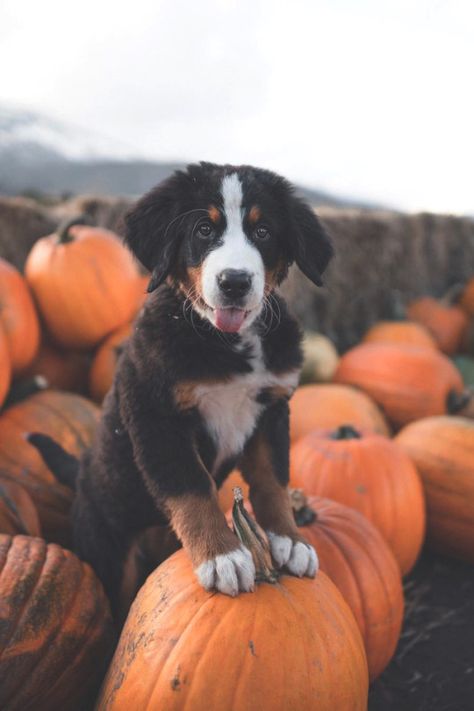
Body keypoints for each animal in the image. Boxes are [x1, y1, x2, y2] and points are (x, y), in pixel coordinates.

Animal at [30, 161, 334, 616]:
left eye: (263, 232)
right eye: (204, 230)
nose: (234, 281)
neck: (228, 342)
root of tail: (81, 473)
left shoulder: (272, 410)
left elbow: (273, 479)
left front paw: (289, 539)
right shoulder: (155, 414)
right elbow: (191, 486)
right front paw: (222, 556)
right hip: (110, 544)